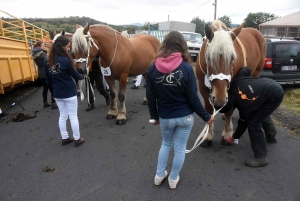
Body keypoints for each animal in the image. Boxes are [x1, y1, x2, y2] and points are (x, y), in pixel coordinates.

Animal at [196, 19, 266, 147]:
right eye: (208, 57)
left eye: (233, 58)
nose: (219, 100)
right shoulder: (202, 87)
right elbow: (209, 110)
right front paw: (208, 136)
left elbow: (229, 111)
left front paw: (227, 134)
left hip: (255, 73)